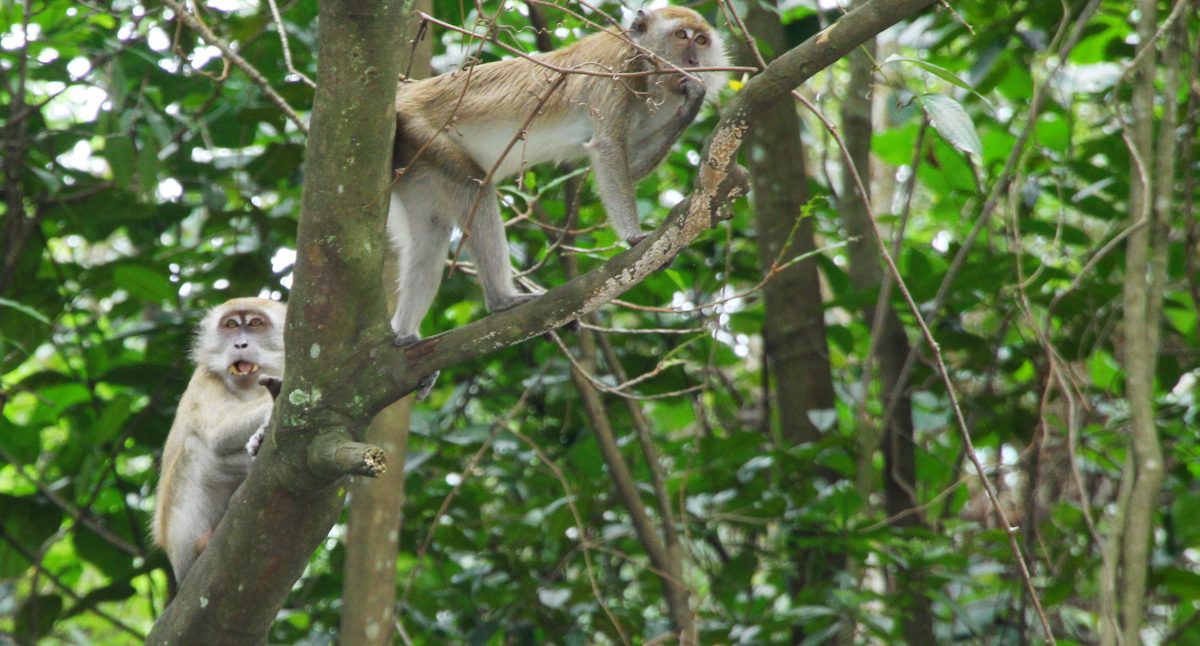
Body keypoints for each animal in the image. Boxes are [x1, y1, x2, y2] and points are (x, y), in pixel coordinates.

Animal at [152, 296, 285, 583]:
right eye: (231, 325)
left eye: (255, 323)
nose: (240, 344)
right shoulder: (204, 380)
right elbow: (219, 431)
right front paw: (269, 414)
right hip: (183, 534)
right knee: (200, 449)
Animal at [386, 5, 720, 343]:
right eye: (681, 36)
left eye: (701, 40)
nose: (694, 61)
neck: (648, 71)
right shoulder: (613, 67)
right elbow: (607, 149)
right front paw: (634, 237)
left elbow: (629, 166)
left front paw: (695, 99)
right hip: (417, 130)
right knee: (472, 185)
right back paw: (502, 301)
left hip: (413, 164)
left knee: (431, 232)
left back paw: (404, 337)